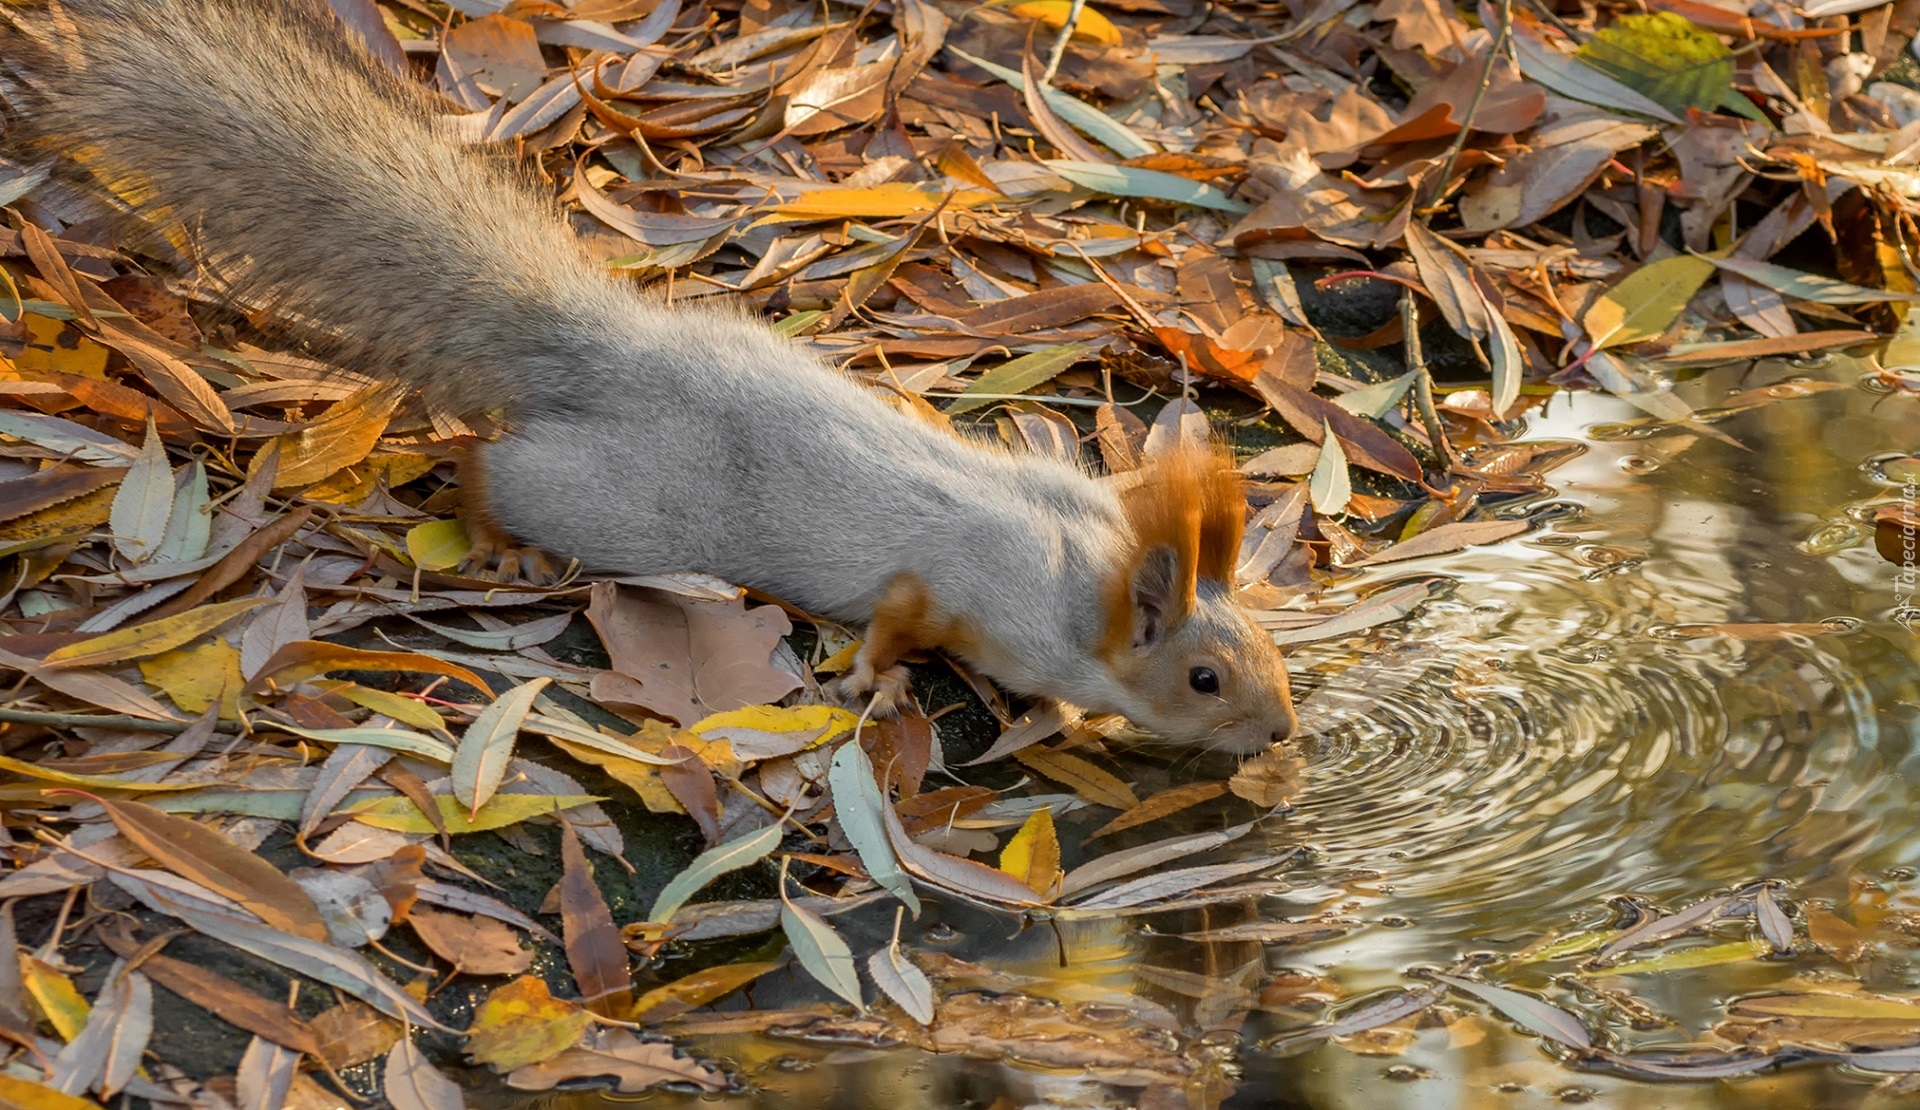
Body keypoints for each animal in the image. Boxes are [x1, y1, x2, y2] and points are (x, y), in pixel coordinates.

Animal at [0, 0, 1297, 752]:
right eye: (1204, 677)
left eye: (1268, 650)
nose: (1283, 735)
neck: (1089, 581)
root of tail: (607, 350)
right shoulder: (960, 588)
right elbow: (900, 618)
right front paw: (877, 685)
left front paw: (1057, 713)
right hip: (620, 502)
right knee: (497, 470)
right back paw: (503, 541)